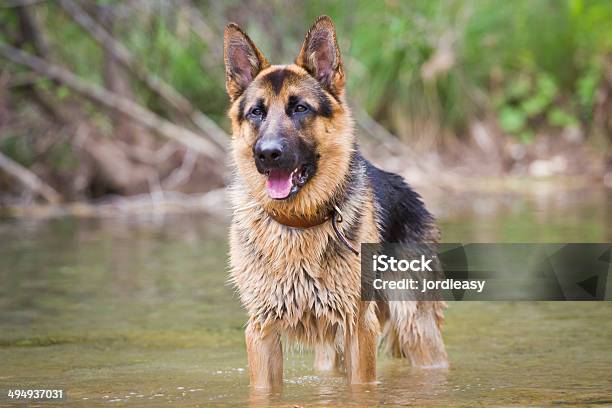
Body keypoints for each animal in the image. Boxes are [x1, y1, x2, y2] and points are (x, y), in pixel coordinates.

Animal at [227, 13, 448, 388]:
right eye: (256, 112)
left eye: (300, 108)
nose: (267, 154)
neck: (297, 225)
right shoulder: (261, 331)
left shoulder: (359, 326)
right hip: (329, 351)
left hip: (415, 329)